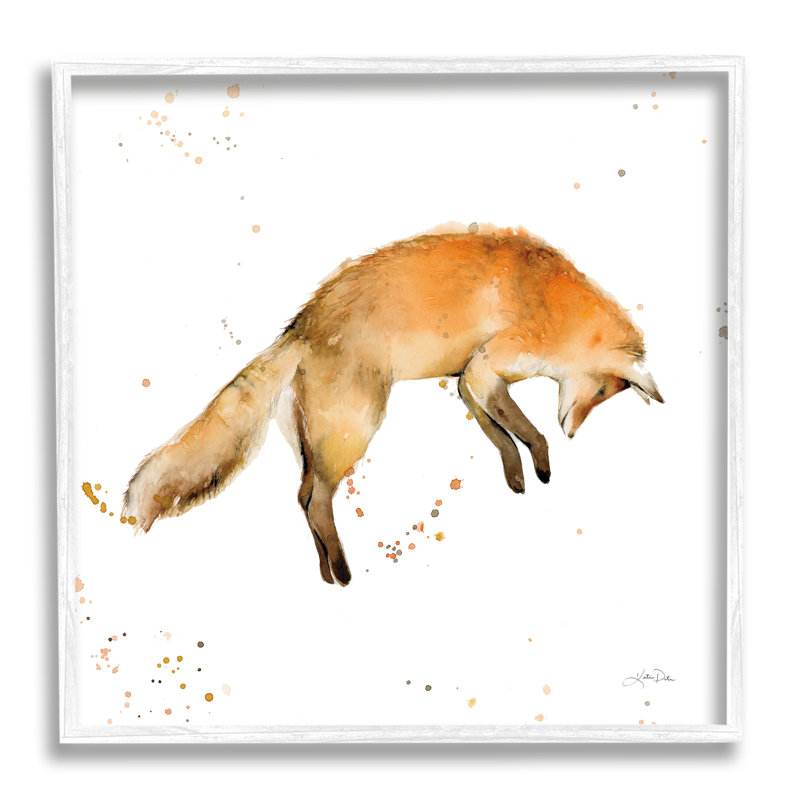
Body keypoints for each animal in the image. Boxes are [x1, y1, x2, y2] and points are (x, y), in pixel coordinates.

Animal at [124, 223, 663, 586]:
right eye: (601, 392)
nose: (574, 430)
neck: (555, 304)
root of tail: (301, 327)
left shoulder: (469, 382)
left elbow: (501, 436)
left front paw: (517, 475)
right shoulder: (485, 369)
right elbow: (529, 431)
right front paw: (543, 461)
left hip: (319, 440)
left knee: (302, 497)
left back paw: (326, 570)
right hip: (355, 428)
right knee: (315, 499)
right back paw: (343, 571)